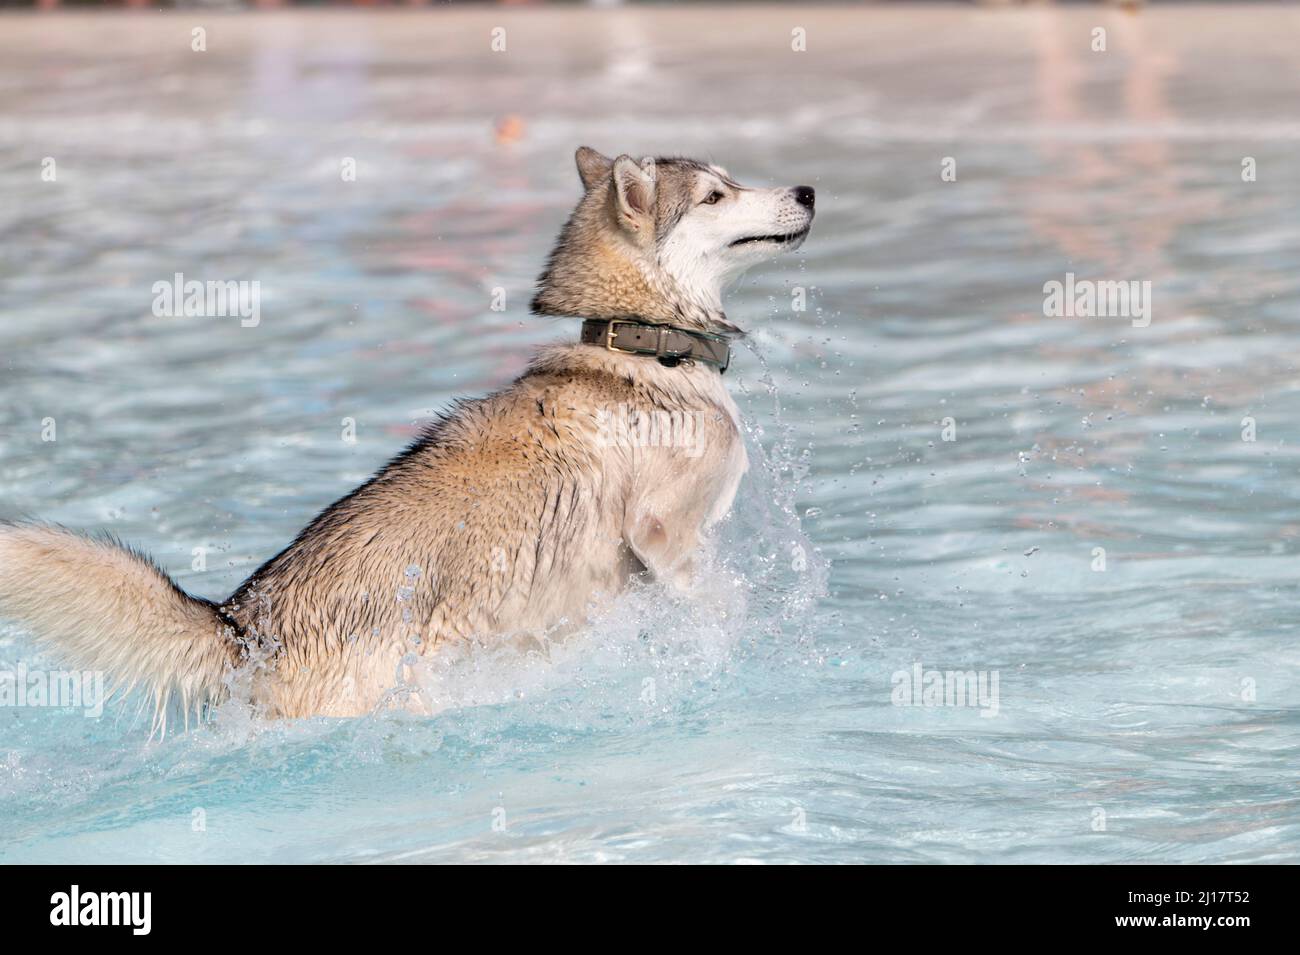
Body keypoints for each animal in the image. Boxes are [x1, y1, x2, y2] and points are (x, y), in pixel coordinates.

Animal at [0, 147, 811, 722]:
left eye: (731, 180)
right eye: (715, 196)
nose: (807, 192)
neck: (640, 345)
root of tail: (243, 624)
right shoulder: (662, 536)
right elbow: (720, 604)